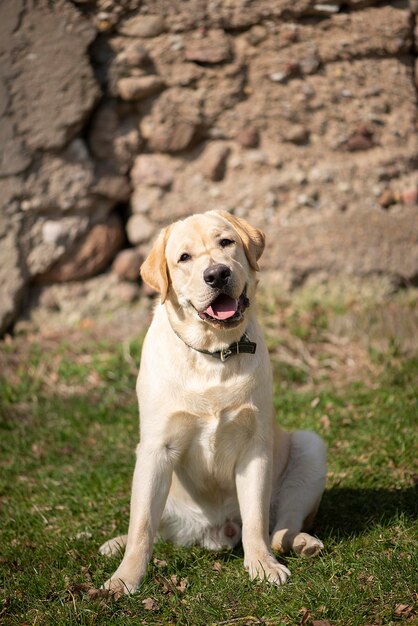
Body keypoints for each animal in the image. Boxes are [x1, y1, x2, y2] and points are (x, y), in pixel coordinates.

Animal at [99, 210, 326, 596]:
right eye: (184, 258)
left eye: (226, 242)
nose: (217, 274)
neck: (213, 353)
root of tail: (218, 532)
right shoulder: (155, 448)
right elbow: (141, 527)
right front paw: (125, 578)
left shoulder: (255, 447)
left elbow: (255, 519)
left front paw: (262, 565)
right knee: (149, 527)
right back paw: (114, 545)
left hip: (311, 447)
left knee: (279, 527)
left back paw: (300, 542)